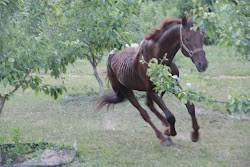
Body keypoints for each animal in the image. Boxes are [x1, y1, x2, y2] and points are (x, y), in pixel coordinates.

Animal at [96, 16, 208, 146]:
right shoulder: (152, 90)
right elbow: (170, 116)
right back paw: (163, 137)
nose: (203, 64)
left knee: (150, 105)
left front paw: (195, 134)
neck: (157, 58)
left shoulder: (172, 85)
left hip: (155, 90)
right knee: (144, 113)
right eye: (187, 38)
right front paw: (170, 132)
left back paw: (165, 128)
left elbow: (190, 107)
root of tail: (111, 56)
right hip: (127, 91)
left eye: (201, 37)